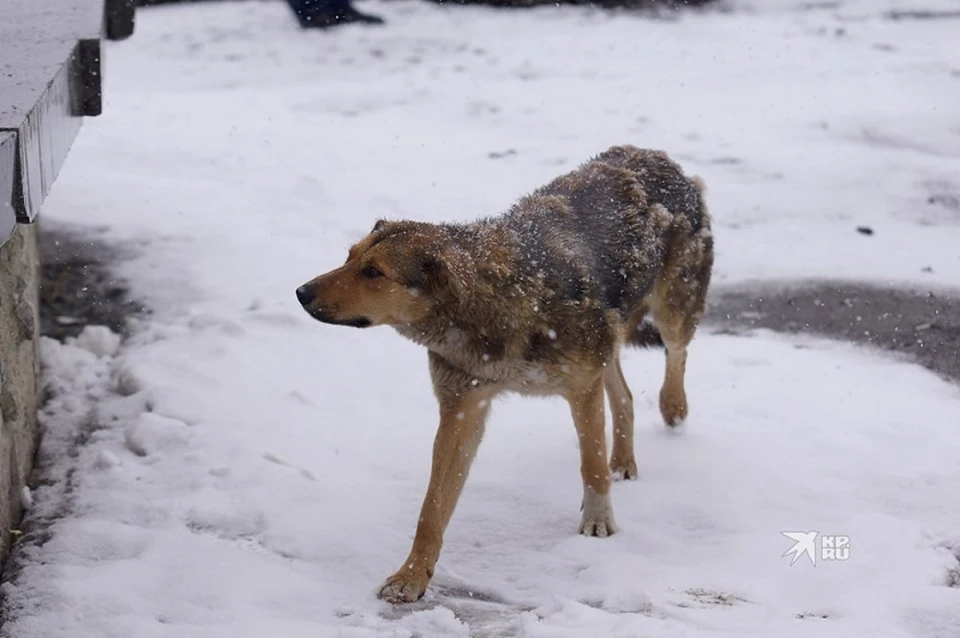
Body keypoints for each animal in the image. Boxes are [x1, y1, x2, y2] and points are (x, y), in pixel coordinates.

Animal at [294, 145, 712, 604]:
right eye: (349, 257)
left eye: (374, 272)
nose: (301, 293)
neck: (498, 305)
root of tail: (655, 154)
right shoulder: (461, 407)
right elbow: (431, 509)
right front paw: (413, 576)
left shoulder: (580, 386)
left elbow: (591, 465)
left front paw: (599, 524)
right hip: (612, 339)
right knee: (625, 394)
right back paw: (623, 459)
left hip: (672, 312)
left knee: (676, 354)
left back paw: (672, 407)